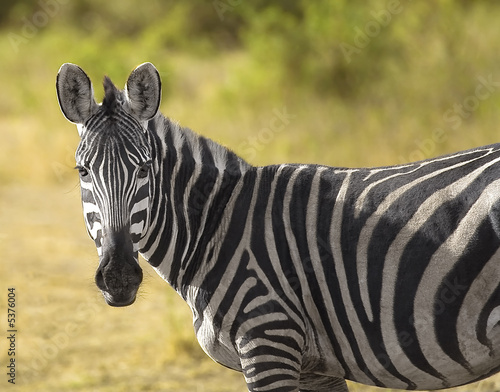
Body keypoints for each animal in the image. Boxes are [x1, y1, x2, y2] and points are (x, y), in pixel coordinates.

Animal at [56, 62, 500, 390]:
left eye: (145, 168)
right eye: (82, 171)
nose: (118, 278)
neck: (215, 226)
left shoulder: (268, 339)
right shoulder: (316, 368)